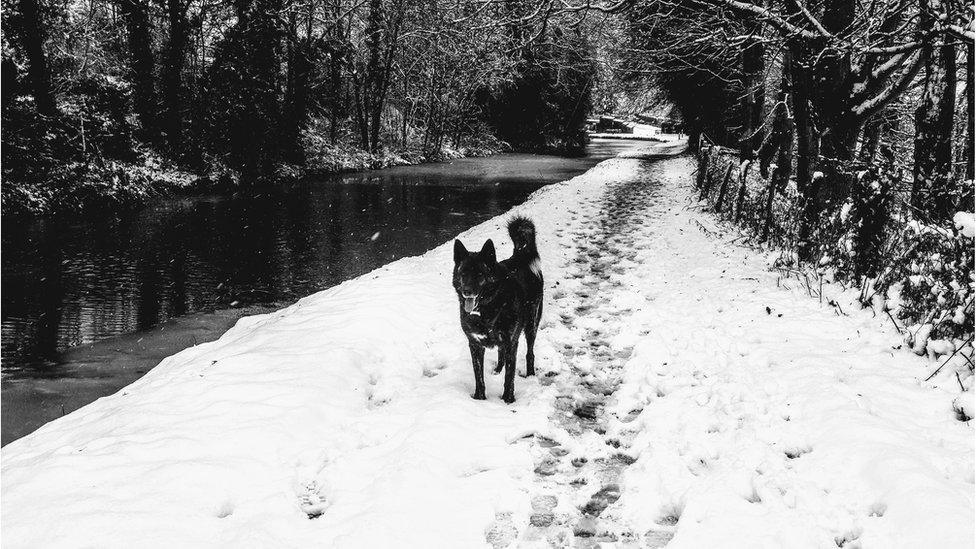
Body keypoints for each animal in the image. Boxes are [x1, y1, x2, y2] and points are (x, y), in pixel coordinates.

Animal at [454, 215, 544, 402]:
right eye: (463, 273)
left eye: (480, 274)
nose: (467, 291)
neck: (486, 309)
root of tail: (519, 256)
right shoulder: (475, 344)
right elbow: (478, 376)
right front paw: (480, 398)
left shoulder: (512, 343)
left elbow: (509, 377)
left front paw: (508, 400)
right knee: (500, 352)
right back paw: (497, 369)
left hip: (531, 324)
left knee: (530, 352)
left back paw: (530, 375)